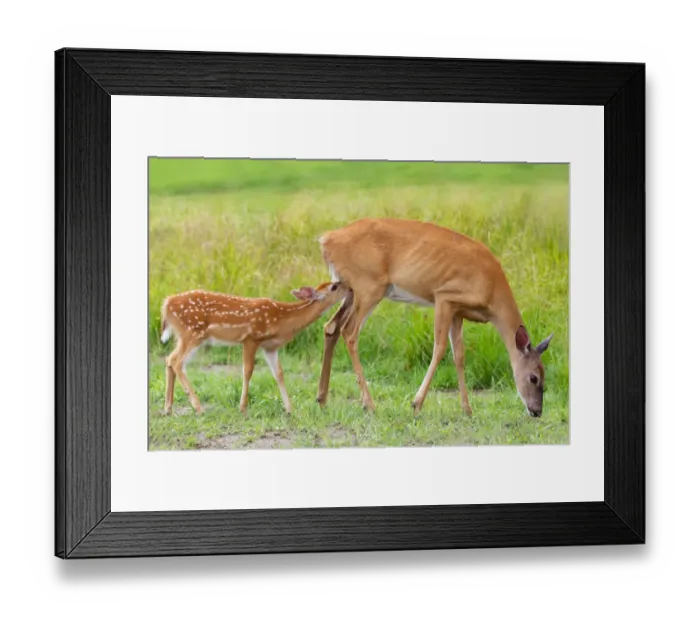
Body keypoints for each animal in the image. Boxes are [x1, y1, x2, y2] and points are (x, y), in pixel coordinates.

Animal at [160, 281, 348, 416]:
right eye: (334, 286)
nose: (348, 286)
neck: (282, 319)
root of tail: (166, 304)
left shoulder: (270, 347)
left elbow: (279, 374)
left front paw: (290, 409)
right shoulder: (251, 338)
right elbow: (248, 371)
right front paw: (243, 408)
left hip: (184, 335)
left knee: (169, 359)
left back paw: (168, 408)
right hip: (193, 333)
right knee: (176, 361)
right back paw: (198, 408)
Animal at [315, 218, 554, 418]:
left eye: (544, 375)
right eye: (534, 377)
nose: (536, 411)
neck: (492, 289)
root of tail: (326, 239)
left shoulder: (458, 312)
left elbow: (459, 355)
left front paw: (467, 409)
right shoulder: (445, 297)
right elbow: (439, 349)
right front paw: (416, 403)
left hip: (350, 289)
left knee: (331, 326)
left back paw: (322, 398)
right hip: (369, 287)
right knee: (349, 332)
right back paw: (369, 404)